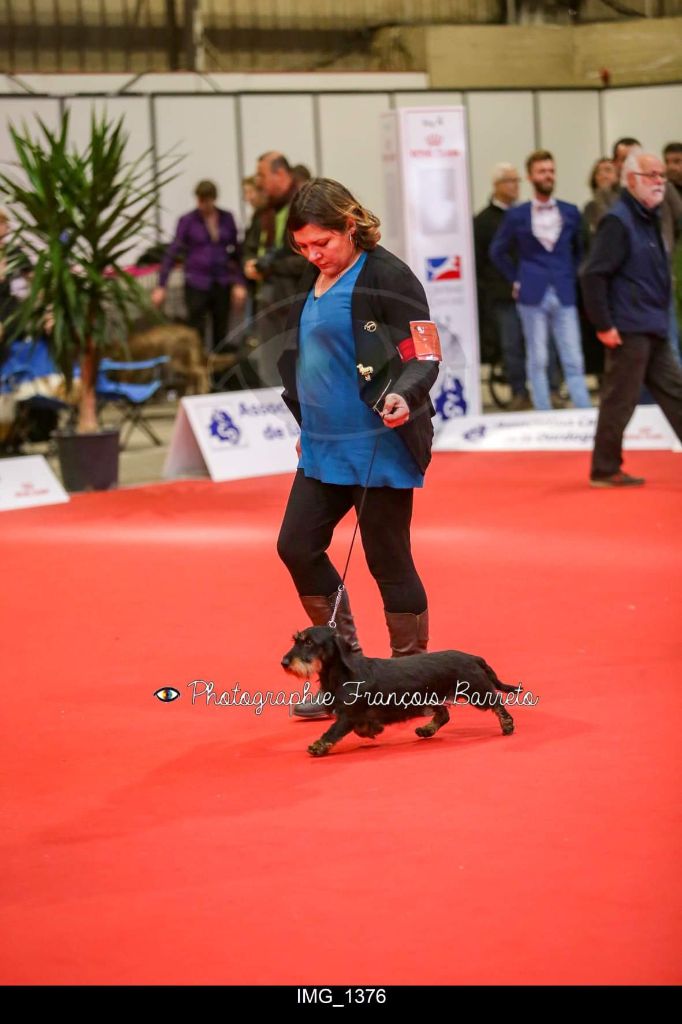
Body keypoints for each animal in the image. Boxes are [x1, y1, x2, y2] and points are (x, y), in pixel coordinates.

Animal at [281, 625, 522, 757]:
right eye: (296, 640)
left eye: (309, 642)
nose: (284, 662)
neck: (342, 674)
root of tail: (472, 657)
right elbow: (363, 728)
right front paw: (373, 730)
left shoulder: (347, 716)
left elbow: (333, 731)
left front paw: (318, 746)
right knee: (444, 714)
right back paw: (426, 729)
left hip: (476, 692)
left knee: (497, 704)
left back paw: (507, 725)